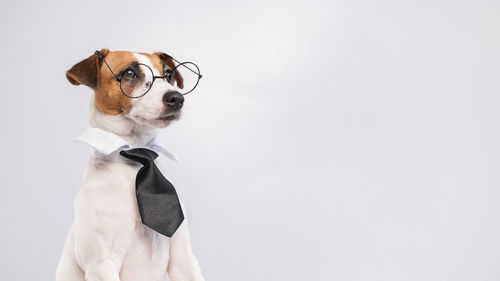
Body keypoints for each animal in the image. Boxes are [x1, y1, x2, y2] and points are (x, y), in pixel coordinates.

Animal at [57, 49, 206, 280]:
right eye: (129, 73)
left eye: (168, 74)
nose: (177, 98)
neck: (137, 158)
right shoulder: (101, 264)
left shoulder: (183, 257)